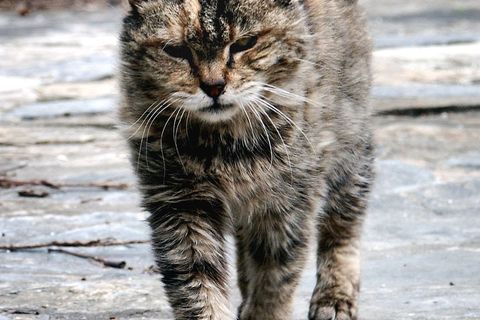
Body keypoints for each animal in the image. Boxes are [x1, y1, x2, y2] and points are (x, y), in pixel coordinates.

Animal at [118, 0, 374, 320]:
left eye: (244, 43)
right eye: (175, 50)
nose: (213, 86)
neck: (223, 145)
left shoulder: (288, 202)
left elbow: (275, 274)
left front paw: (264, 309)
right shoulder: (179, 202)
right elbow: (197, 281)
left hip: (349, 150)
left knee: (343, 225)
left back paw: (335, 296)